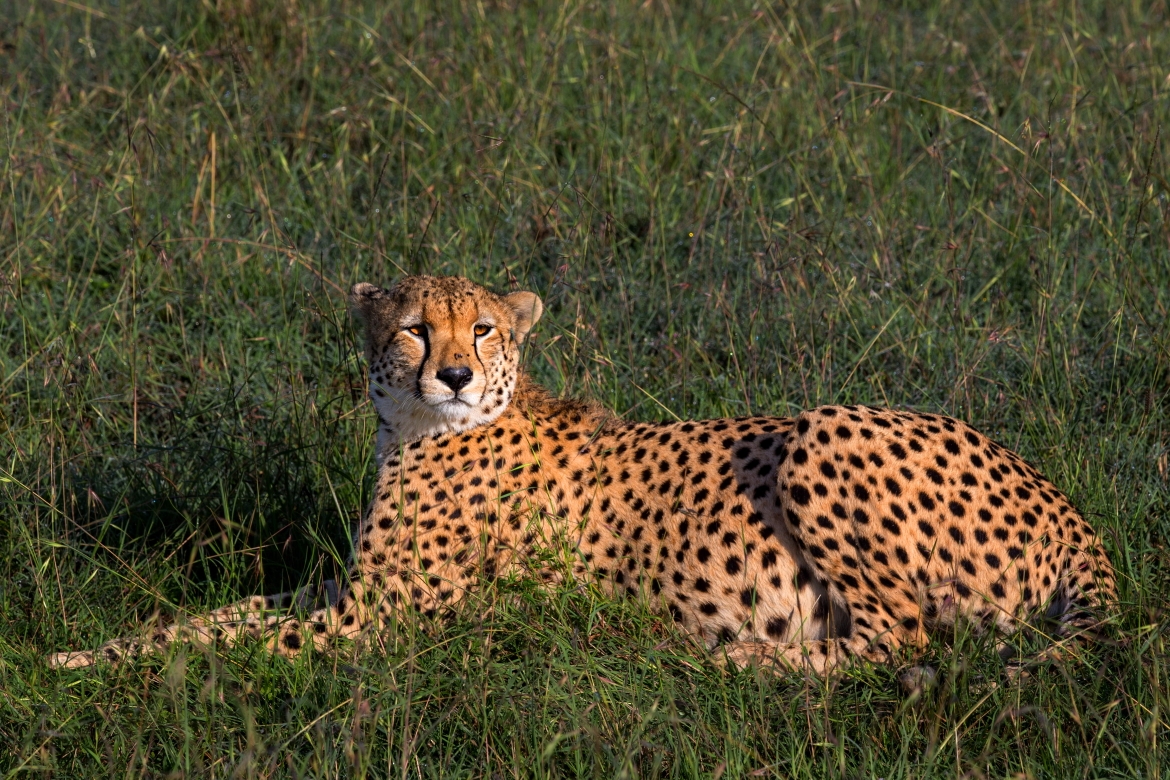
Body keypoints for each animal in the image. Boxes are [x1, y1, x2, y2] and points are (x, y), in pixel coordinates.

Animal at [47, 275, 1113, 678]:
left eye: (482, 328)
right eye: (413, 327)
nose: (453, 373)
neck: (420, 428)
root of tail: (1062, 497)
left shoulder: (381, 621)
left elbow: (240, 649)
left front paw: (112, 679)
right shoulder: (346, 591)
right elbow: (216, 619)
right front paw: (83, 655)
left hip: (824, 432)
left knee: (904, 645)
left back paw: (728, 660)